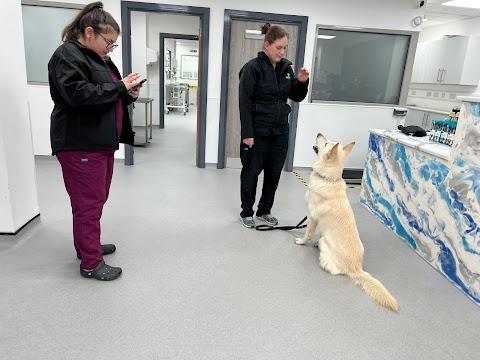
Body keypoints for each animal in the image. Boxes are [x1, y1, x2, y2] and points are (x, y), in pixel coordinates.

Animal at [296, 134, 398, 310]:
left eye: (325, 143)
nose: (318, 133)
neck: (328, 179)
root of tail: (356, 268)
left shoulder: (312, 217)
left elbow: (307, 233)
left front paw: (302, 241)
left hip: (326, 245)